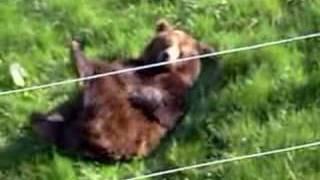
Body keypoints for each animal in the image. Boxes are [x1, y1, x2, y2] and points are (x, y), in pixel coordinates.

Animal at [31, 19, 215, 160]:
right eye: (167, 42)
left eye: (182, 52)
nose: (166, 55)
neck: (157, 69)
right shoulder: (131, 65)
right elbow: (121, 67)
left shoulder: (178, 90)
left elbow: (169, 109)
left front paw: (139, 94)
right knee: (59, 115)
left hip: (117, 121)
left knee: (102, 80)